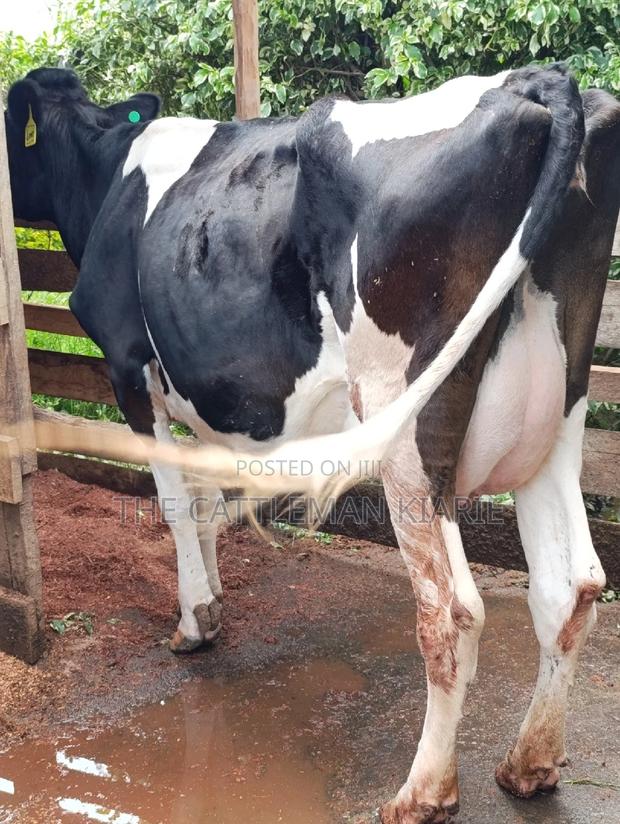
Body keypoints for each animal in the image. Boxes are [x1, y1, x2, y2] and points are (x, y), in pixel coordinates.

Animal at [5, 65, 620, 823]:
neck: (108, 170)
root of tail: (535, 80)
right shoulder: (216, 391)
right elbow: (209, 495)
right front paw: (212, 599)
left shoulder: (127, 367)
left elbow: (176, 503)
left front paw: (194, 622)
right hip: (559, 412)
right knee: (572, 586)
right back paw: (528, 763)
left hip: (406, 423)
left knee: (450, 612)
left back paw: (422, 792)